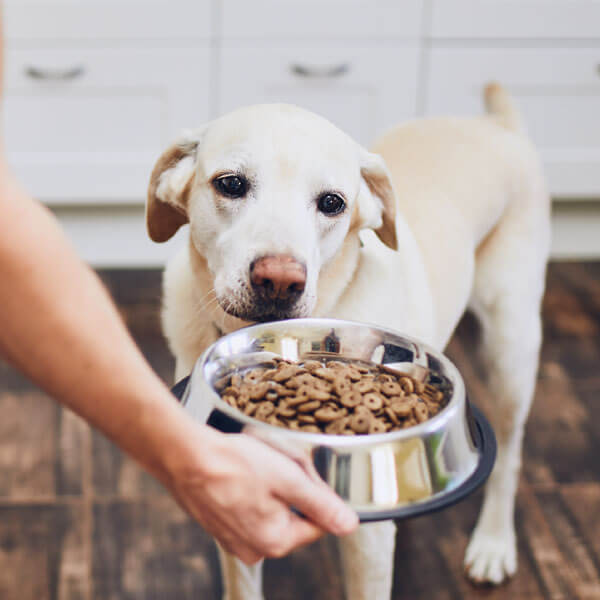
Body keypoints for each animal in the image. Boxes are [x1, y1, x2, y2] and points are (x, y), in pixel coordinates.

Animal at [145, 82, 548, 596]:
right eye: (230, 184)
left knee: (512, 454)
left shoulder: (366, 543)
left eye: (332, 202)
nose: (279, 281)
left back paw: (494, 543)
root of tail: (497, 125)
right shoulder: (237, 509)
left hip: (510, 348)